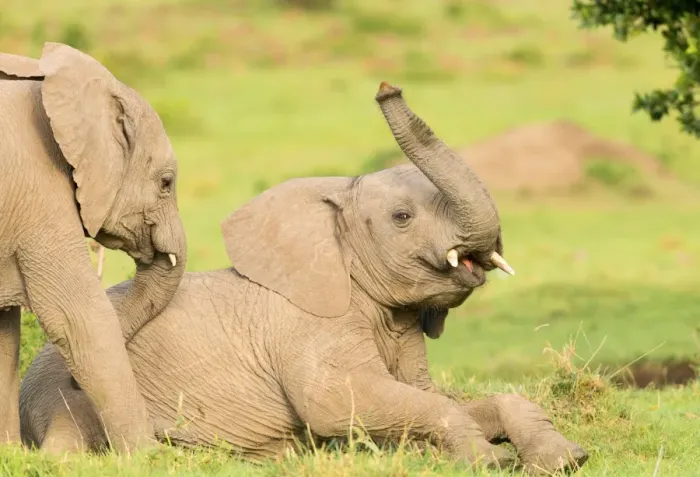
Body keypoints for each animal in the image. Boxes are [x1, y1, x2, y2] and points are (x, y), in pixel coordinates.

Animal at [0, 43, 187, 451]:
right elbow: (78, 316)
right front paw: (148, 457)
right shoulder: (39, 187)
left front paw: (10, 453)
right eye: (166, 183)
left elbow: (5, 333)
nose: (70, 385)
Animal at [19, 82, 588, 474]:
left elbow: (435, 395)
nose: (386, 87)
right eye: (402, 217)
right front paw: (490, 460)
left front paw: (566, 458)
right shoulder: (306, 328)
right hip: (62, 395)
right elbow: (341, 402)